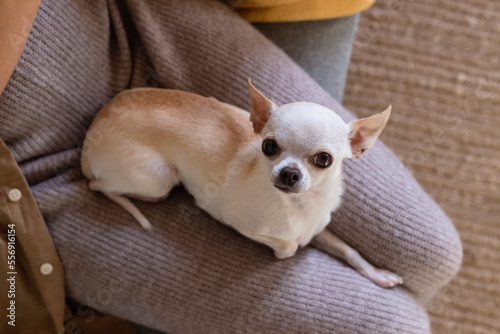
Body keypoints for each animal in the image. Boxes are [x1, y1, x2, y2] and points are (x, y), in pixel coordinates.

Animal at [81, 79, 402, 288]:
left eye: (324, 159)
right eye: (269, 146)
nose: (289, 173)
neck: (300, 206)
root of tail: (91, 134)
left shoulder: (320, 227)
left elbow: (347, 249)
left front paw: (377, 273)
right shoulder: (239, 223)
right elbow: (290, 245)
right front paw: (288, 248)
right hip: (159, 179)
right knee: (99, 186)